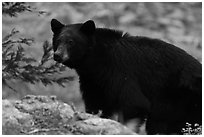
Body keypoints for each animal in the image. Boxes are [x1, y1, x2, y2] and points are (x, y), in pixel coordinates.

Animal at [50, 19, 201, 135]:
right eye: (58, 40)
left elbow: (134, 102)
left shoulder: (121, 72)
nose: (57, 55)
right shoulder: (93, 82)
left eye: (71, 41)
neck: (96, 61)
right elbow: (96, 104)